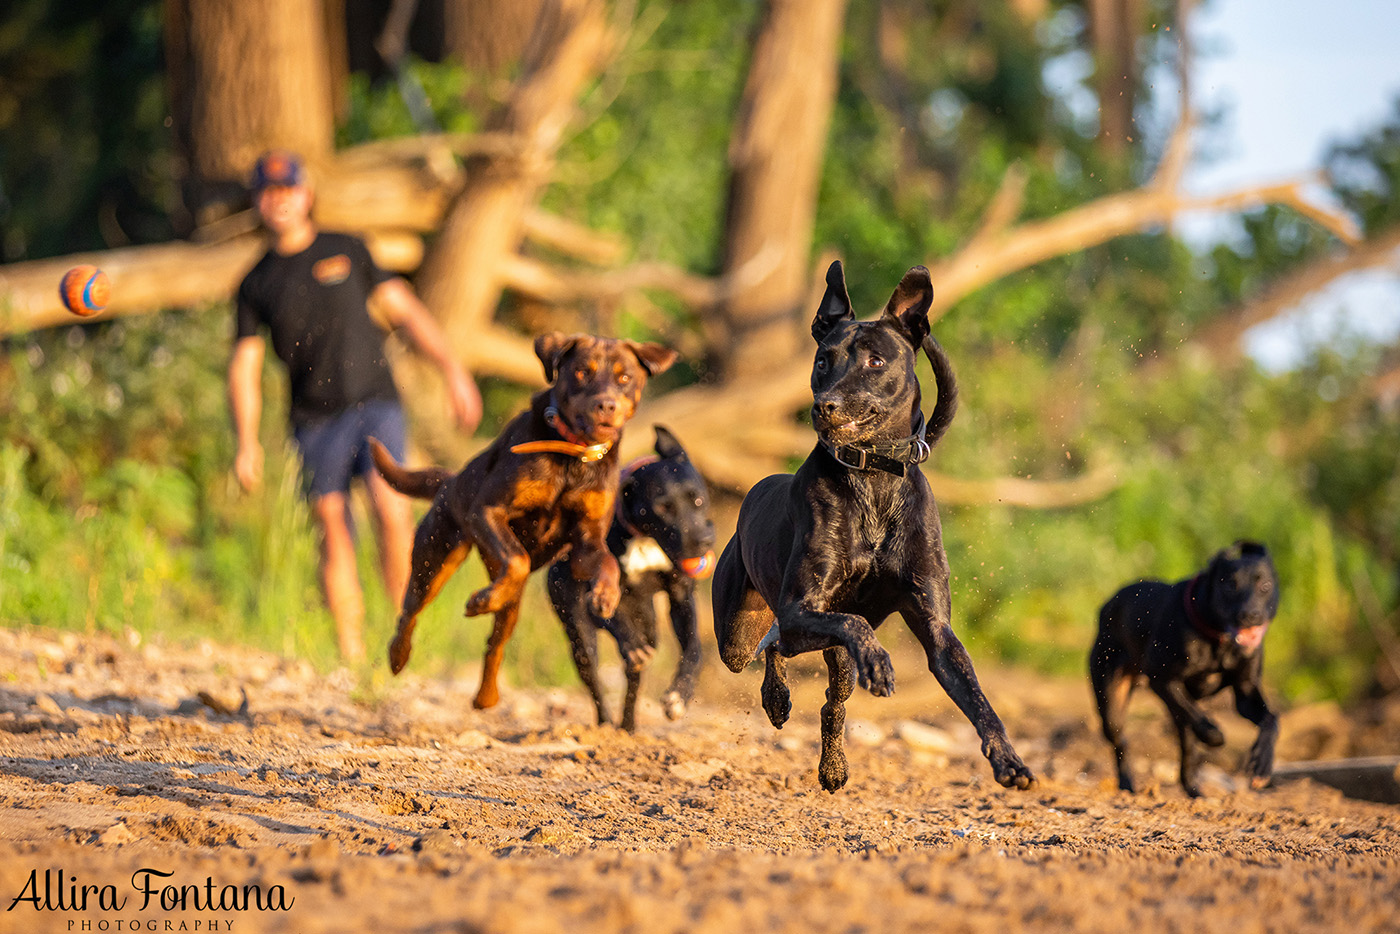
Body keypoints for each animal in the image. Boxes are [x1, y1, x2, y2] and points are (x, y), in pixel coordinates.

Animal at [372, 331, 677, 705]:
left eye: (624, 378)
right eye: (582, 372)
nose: (607, 405)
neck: (574, 456)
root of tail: (449, 482)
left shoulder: (586, 543)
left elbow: (606, 561)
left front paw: (605, 596)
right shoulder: (487, 511)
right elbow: (517, 559)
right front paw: (481, 600)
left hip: (506, 602)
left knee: (495, 642)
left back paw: (486, 696)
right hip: (436, 556)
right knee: (411, 610)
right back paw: (401, 654)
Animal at [546, 428, 716, 733]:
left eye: (697, 499)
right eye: (663, 507)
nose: (703, 541)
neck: (644, 538)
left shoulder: (681, 598)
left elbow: (694, 648)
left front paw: (679, 696)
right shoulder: (594, 598)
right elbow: (617, 622)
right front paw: (632, 644)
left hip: (649, 625)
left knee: (634, 680)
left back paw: (628, 727)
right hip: (577, 631)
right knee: (594, 679)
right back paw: (605, 725)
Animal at [716, 263, 1036, 795]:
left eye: (876, 361)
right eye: (822, 360)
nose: (824, 406)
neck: (874, 477)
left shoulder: (937, 629)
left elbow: (976, 696)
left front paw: (1009, 759)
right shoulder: (802, 607)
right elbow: (854, 623)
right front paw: (881, 664)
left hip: (827, 657)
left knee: (830, 699)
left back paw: (832, 765)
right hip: (738, 636)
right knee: (772, 645)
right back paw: (778, 700)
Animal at [1092, 543, 1282, 800]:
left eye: (1265, 586)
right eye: (1230, 585)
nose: (1250, 615)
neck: (1218, 639)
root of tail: (1108, 605)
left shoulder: (1246, 692)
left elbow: (1271, 720)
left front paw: (1262, 765)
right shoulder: (1161, 678)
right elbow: (1196, 717)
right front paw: (1215, 734)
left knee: (1187, 741)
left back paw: (1194, 790)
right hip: (1110, 698)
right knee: (1121, 740)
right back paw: (1127, 784)